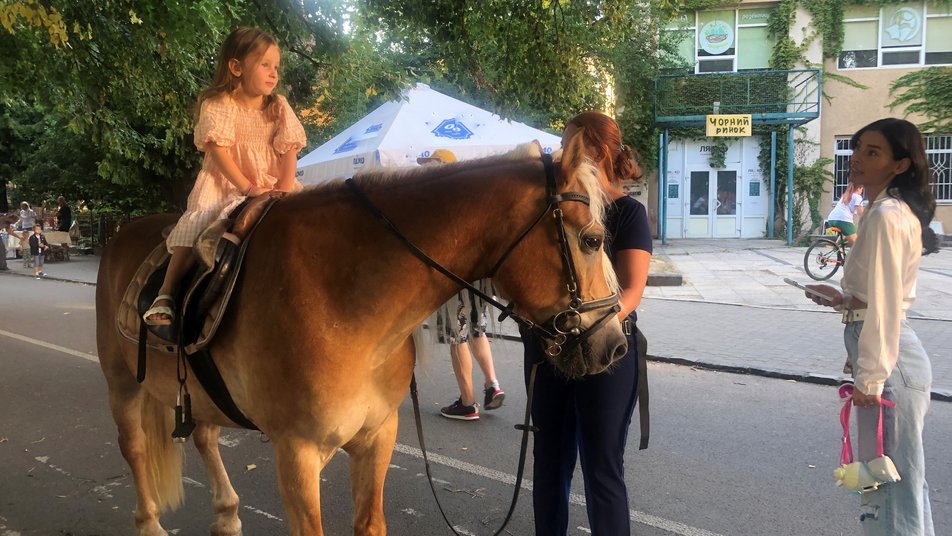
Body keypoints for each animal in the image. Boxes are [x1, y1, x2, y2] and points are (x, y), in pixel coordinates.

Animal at [96, 136, 628, 532]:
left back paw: (227, 514)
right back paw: (150, 522)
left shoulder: (377, 438)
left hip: (202, 393)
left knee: (205, 435)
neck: (346, 303)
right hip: (121, 384)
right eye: (592, 240)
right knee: (135, 448)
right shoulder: (296, 454)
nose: (616, 344)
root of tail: (121, 232)